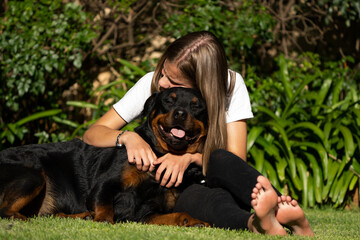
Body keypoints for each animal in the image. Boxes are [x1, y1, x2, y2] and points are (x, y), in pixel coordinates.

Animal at [0, 87, 208, 226]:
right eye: (168, 101)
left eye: (196, 106)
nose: (180, 113)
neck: (160, 155)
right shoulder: (105, 184)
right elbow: (104, 204)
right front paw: (103, 220)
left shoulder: (147, 213)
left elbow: (179, 214)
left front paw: (195, 221)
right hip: (32, 175)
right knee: (5, 210)